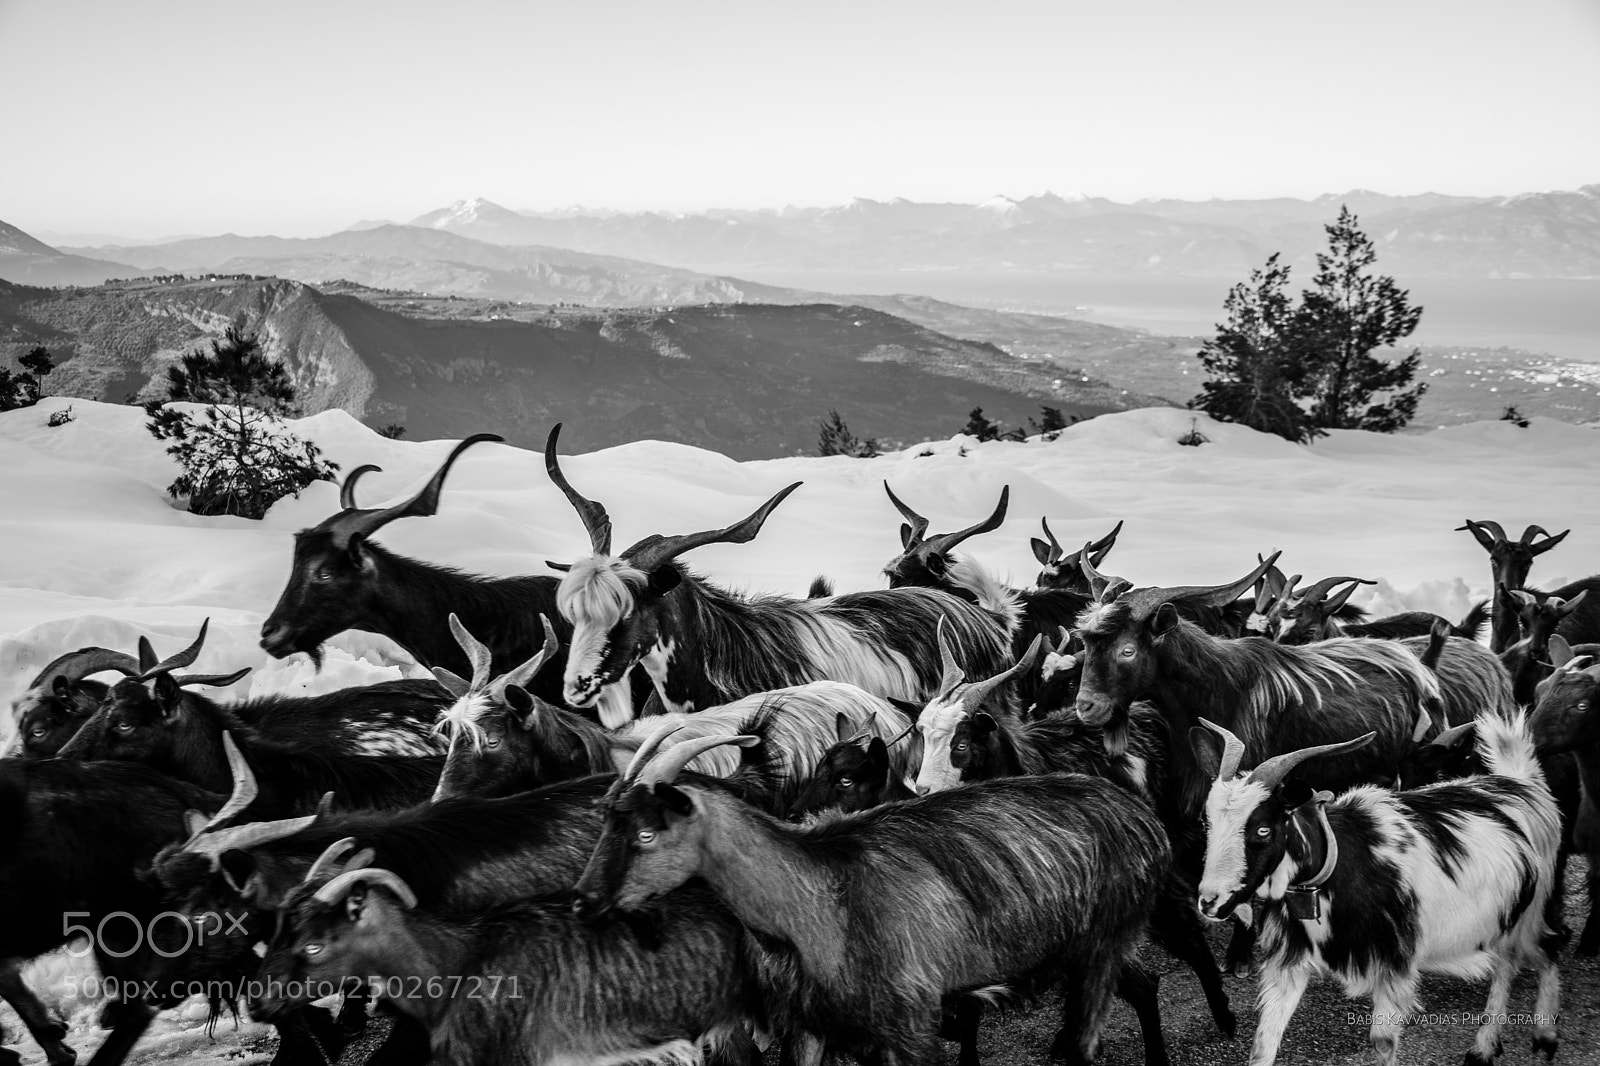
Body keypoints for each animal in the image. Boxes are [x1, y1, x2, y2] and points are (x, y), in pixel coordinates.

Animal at [574, 728, 1175, 1066]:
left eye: (646, 833)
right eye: (606, 821)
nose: (583, 901)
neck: (814, 892)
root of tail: (1143, 816)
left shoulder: (914, 1023)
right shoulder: (813, 1025)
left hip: (1103, 944)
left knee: (1096, 1032)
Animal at [1193, 716, 1562, 1066]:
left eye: (1263, 829)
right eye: (1207, 822)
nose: (1210, 901)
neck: (1336, 867)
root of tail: (1521, 783)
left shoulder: (1393, 964)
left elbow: (1383, 1043)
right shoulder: (1288, 965)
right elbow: (1262, 1045)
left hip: (1531, 908)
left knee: (1546, 948)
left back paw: (1544, 1036)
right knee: (1507, 963)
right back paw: (1485, 1048)